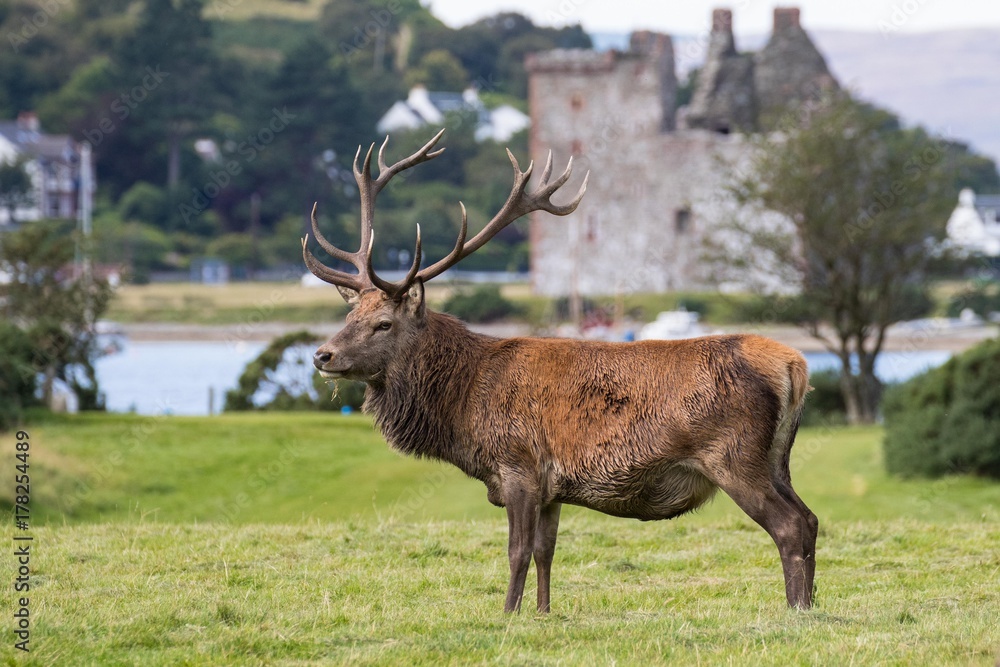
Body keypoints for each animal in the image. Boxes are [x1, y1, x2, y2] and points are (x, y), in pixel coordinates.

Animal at [304, 130, 817, 613]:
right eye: (350, 314)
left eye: (383, 323)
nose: (322, 355)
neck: (463, 405)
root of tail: (795, 364)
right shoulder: (552, 489)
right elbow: (546, 552)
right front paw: (543, 612)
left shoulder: (518, 466)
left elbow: (517, 552)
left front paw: (507, 613)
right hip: (778, 458)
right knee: (810, 519)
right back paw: (812, 604)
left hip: (733, 455)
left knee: (790, 525)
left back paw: (795, 609)